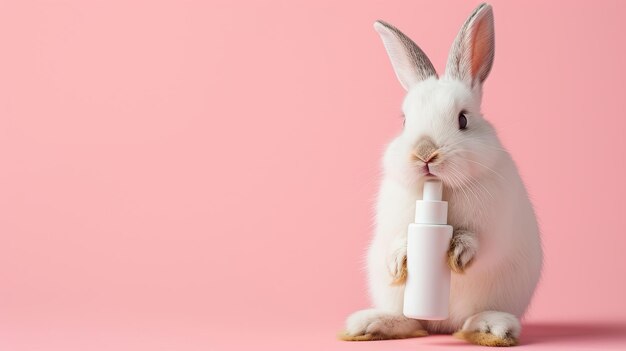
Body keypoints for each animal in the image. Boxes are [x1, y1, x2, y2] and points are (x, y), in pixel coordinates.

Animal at [342, 3, 540, 350]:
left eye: (463, 120)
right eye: (404, 121)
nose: (425, 153)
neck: (441, 190)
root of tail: (442, 325)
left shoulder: (493, 227)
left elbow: (479, 242)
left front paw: (459, 252)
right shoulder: (396, 221)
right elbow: (398, 239)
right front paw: (398, 260)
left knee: (472, 319)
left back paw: (490, 329)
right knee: (413, 323)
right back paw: (371, 325)